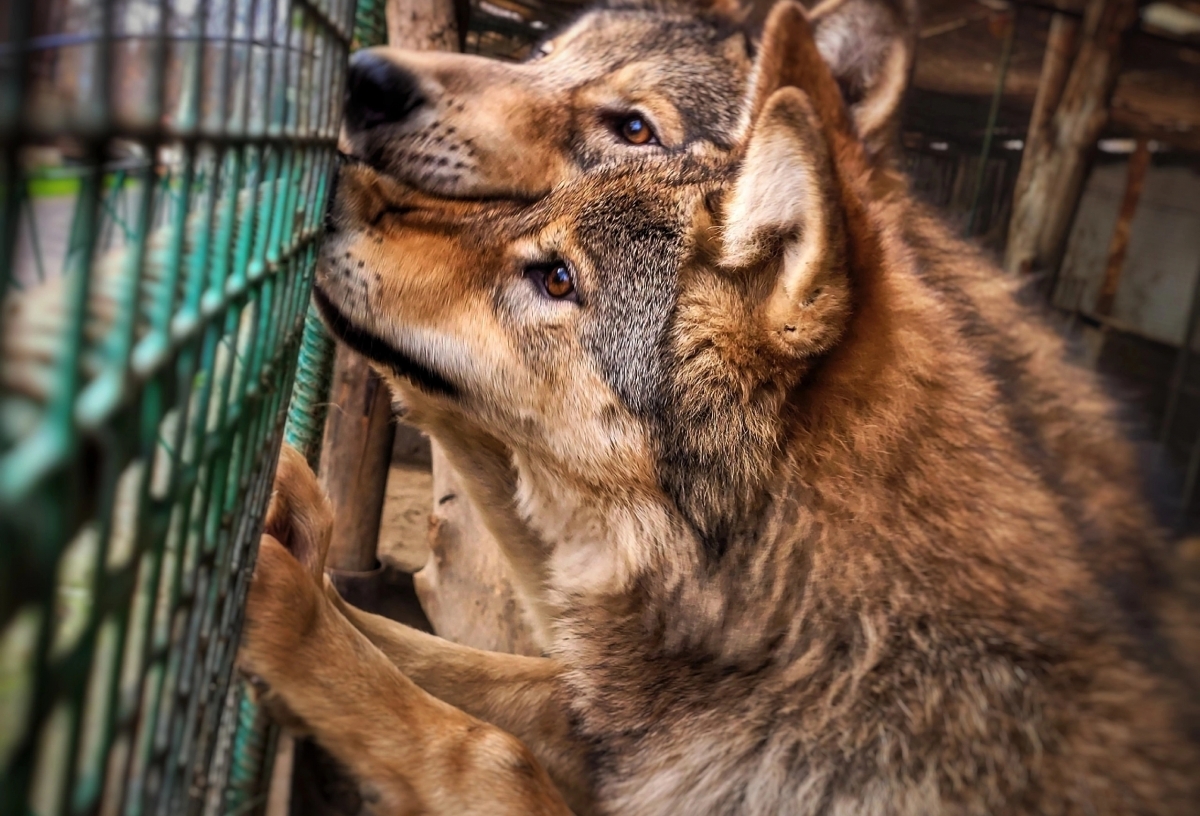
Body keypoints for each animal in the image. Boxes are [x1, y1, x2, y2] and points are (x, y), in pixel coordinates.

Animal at [236, 1, 1200, 816]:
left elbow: (483, 749)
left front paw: (281, 601)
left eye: (556, 278)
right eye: (540, 55)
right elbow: (432, 657)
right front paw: (284, 531)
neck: (819, 636)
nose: (336, 186)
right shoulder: (622, 728)